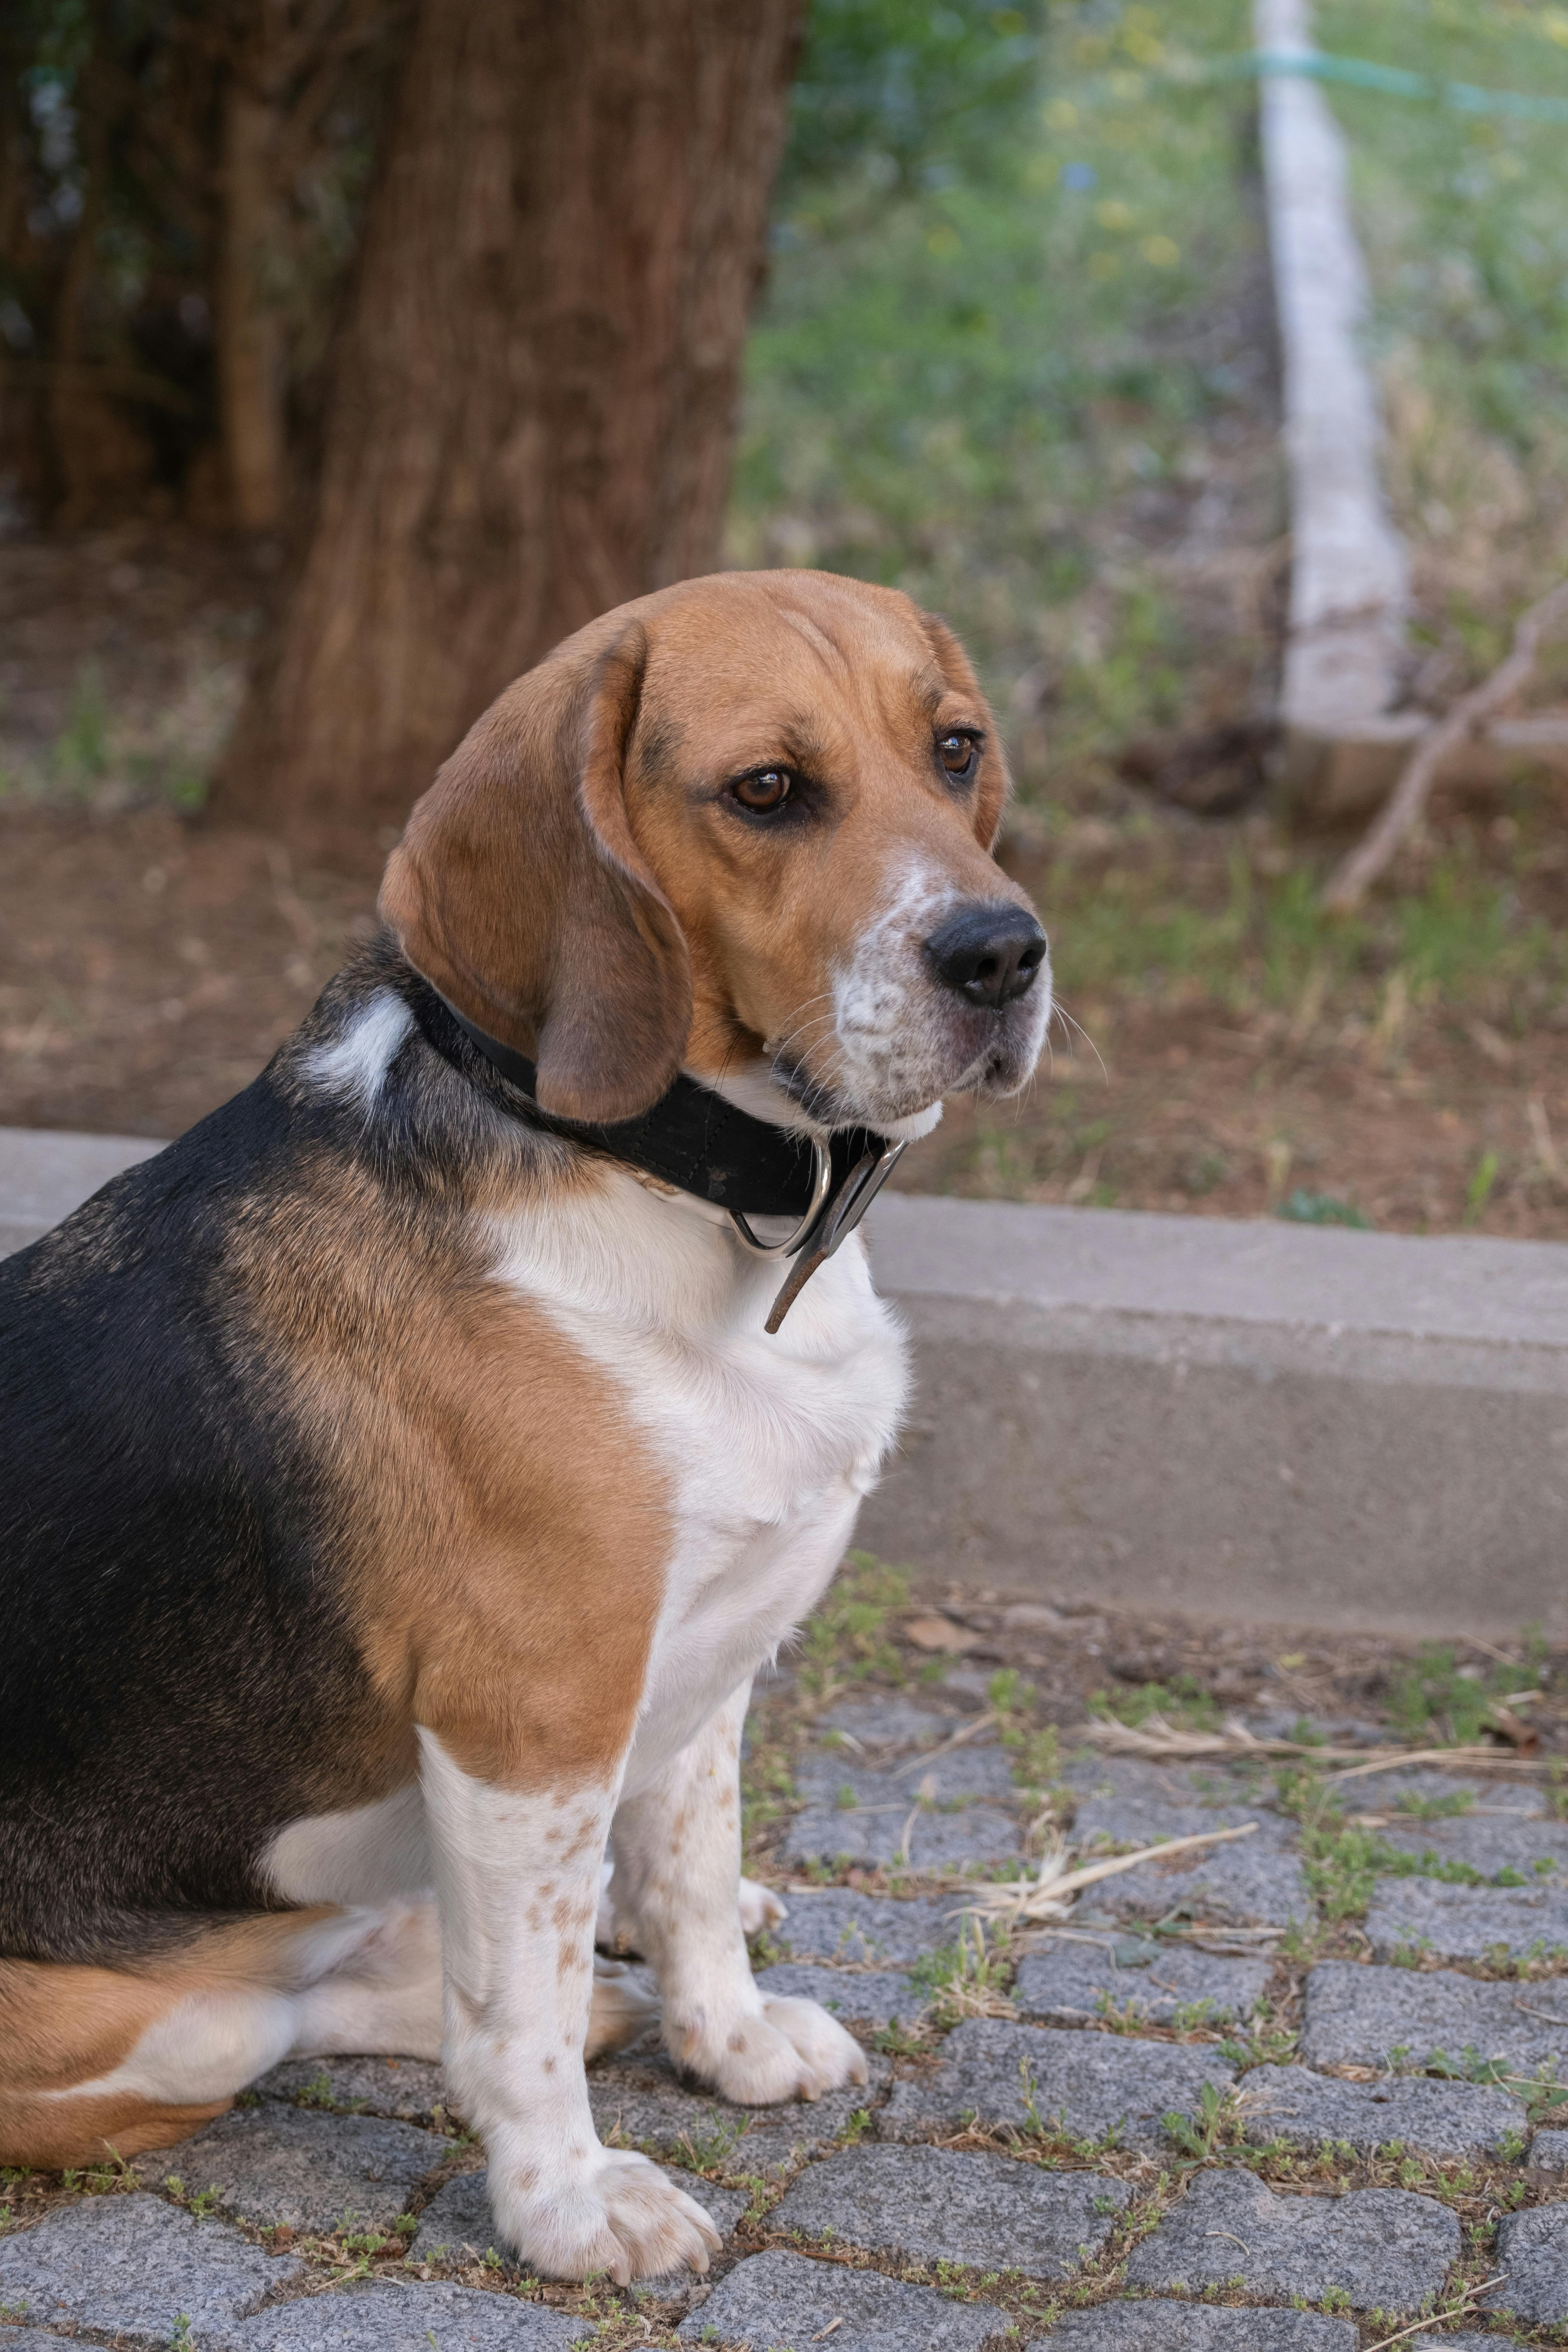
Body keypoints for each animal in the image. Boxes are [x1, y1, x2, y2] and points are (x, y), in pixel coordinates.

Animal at [3, 569, 1053, 2277]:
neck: (668, 1179)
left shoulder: (696, 1663)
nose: (1004, 954)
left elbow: (689, 1859)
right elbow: (518, 2009)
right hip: (160, 2026)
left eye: (954, 748)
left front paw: (724, 2037)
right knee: (285, 2011)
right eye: (768, 790)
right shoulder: (534, 1712)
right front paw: (566, 2199)